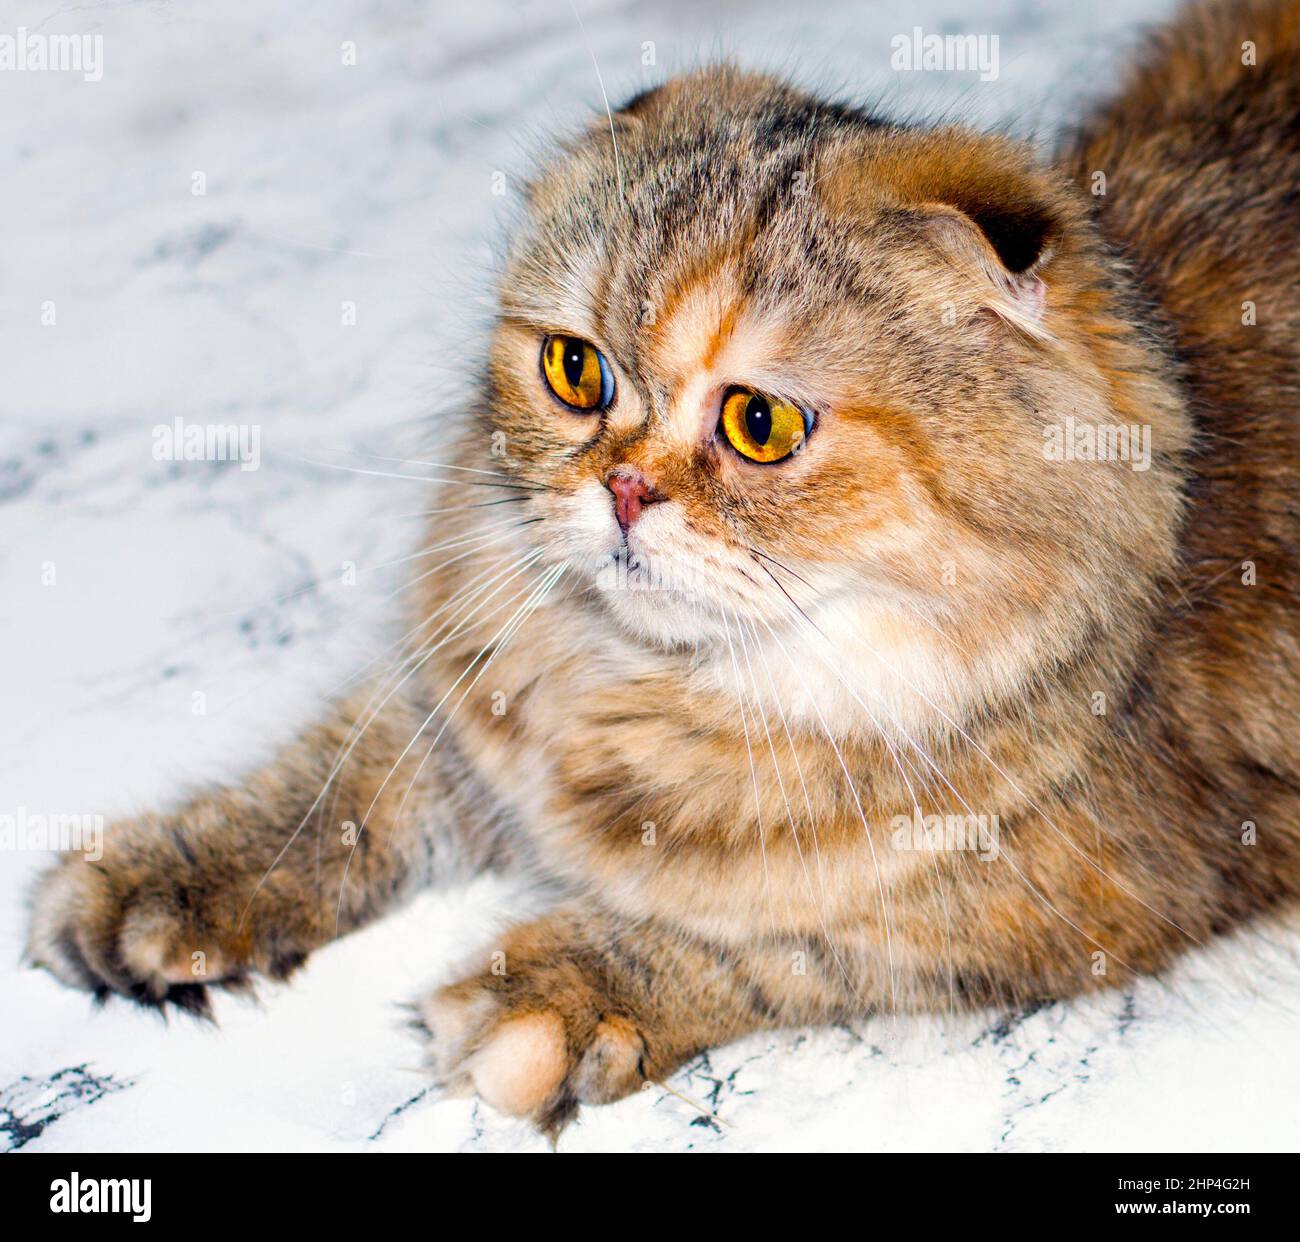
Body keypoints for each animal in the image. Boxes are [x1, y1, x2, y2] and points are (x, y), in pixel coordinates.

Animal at [25, 0, 1300, 1134]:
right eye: (576, 373)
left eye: (758, 425)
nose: (624, 490)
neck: (651, 694)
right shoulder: (459, 707)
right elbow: (332, 793)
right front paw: (163, 879)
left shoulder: (1102, 894)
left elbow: (779, 942)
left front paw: (549, 997)